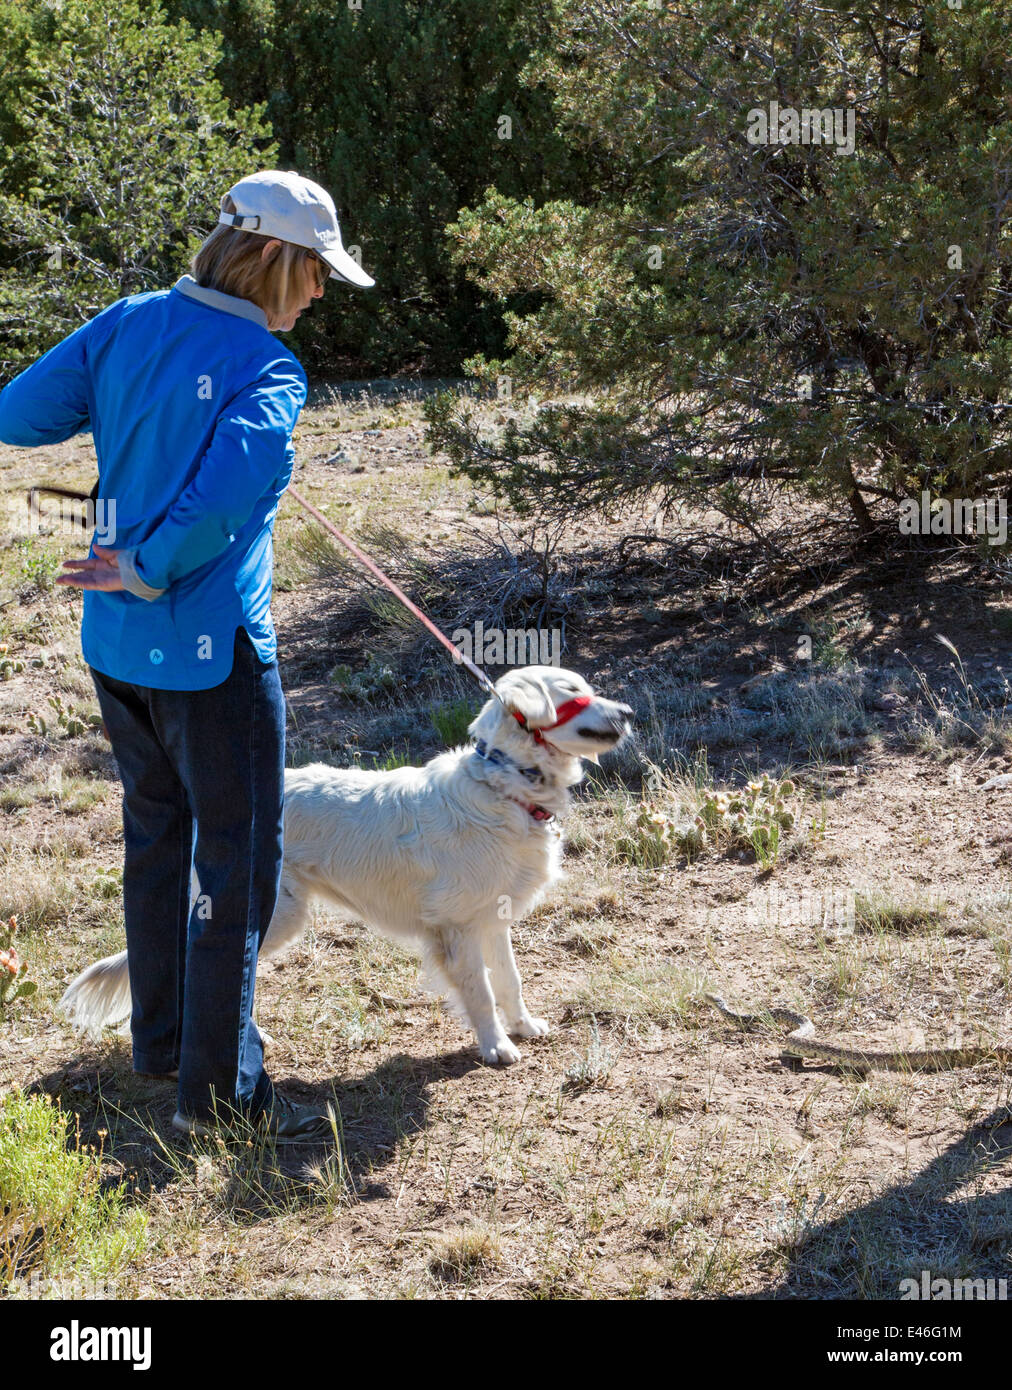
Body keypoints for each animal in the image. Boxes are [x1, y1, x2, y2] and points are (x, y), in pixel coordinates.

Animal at [59, 661, 633, 1061]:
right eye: (573, 692)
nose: (628, 714)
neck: (506, 783)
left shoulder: (492, 918)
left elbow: (510, 981)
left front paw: (524, 1026)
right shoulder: (457, 929)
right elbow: (481, 992)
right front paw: (496, 1047)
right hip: (274, 915)